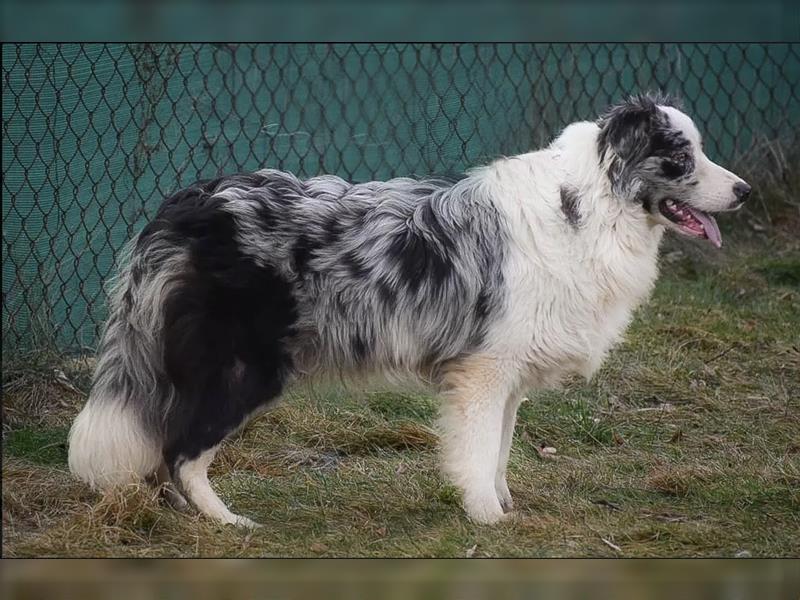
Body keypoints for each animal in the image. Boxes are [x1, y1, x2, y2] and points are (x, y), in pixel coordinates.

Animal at [67, 94, 752, 524]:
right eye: (681, 158)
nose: (745, 191)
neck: (584, 207)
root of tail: (184, 204)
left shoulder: (506, 379)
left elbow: (499, 452)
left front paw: (500, 506)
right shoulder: (481, 374)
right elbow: (476, 452)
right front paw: (486, 521)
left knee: (169, 450)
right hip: (243, 370)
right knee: (181, 452)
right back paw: (226, 523)